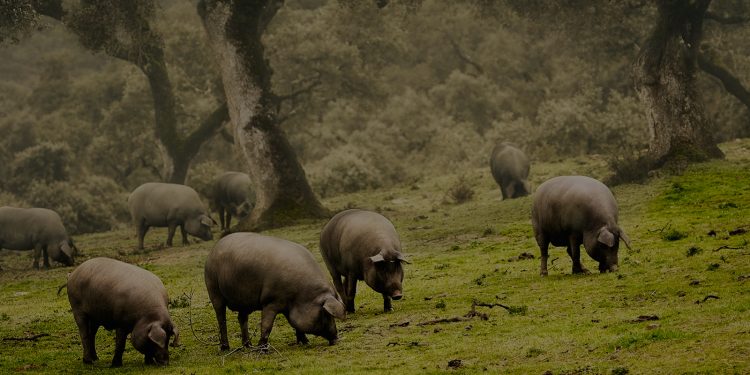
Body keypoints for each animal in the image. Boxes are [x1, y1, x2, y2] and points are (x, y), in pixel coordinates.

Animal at [206, 234, 346, 352]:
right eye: (325, 314)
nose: (336, 339)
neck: (301, 296)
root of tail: (214, 248)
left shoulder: (287, 306)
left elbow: (295, 324)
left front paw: (306, 342)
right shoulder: (271, 302)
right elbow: (267, 325)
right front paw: (262, 349)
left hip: (244, 300)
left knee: (241, 318)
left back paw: (248, 346)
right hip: (213, 289)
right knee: (221, 319)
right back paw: (226, 348)